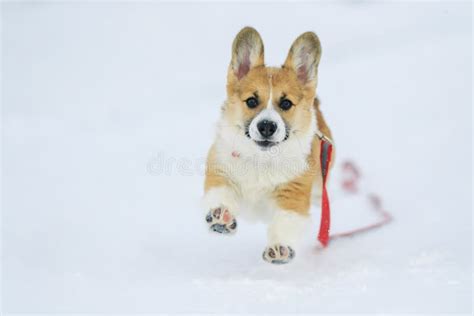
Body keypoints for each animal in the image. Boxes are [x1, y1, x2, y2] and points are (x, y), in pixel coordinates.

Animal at [204, 26, 334, 264]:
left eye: (286, 103)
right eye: (252, 101)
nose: (266, 126)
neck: (261, 159)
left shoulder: (293, 193)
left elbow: (285, 222)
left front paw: (279, 248)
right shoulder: (220, 169)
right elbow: (219, 194)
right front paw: (221, 217)